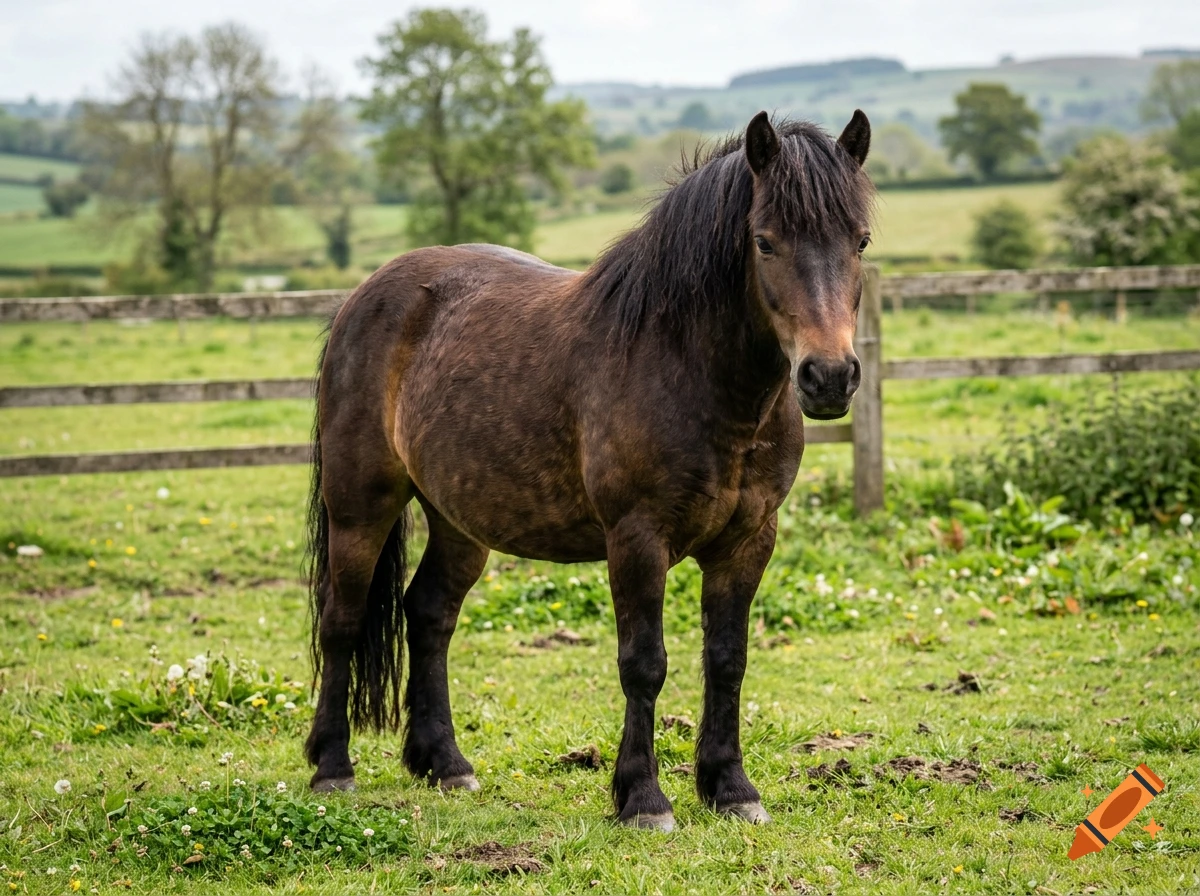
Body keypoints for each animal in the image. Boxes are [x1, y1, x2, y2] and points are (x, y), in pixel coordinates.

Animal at [304, 110, 874, 831]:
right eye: (765, 242)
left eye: (861, 241)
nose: (829, 377)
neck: (685, 364)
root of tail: (363, 297)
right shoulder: (637, 538)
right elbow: (644, 663)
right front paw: (643, 799)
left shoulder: (748, 541)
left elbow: (728, 659)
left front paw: (731, 788)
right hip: (361, 505)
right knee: (342, 621)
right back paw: (332, 767)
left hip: (459, 519)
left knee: (428, 614)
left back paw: (446, 764)